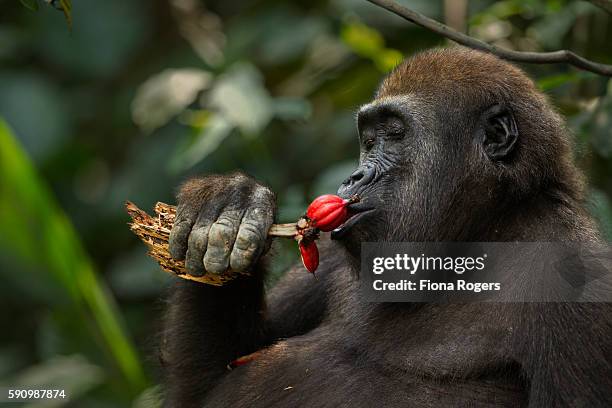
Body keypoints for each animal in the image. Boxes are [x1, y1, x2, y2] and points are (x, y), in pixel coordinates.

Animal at [159, 48, 612, 408]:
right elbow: (207, 385)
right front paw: (226, 204)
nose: (354, 177)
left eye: (394, 135)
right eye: (369, 140)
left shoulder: (581, 284)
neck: (481, 230)